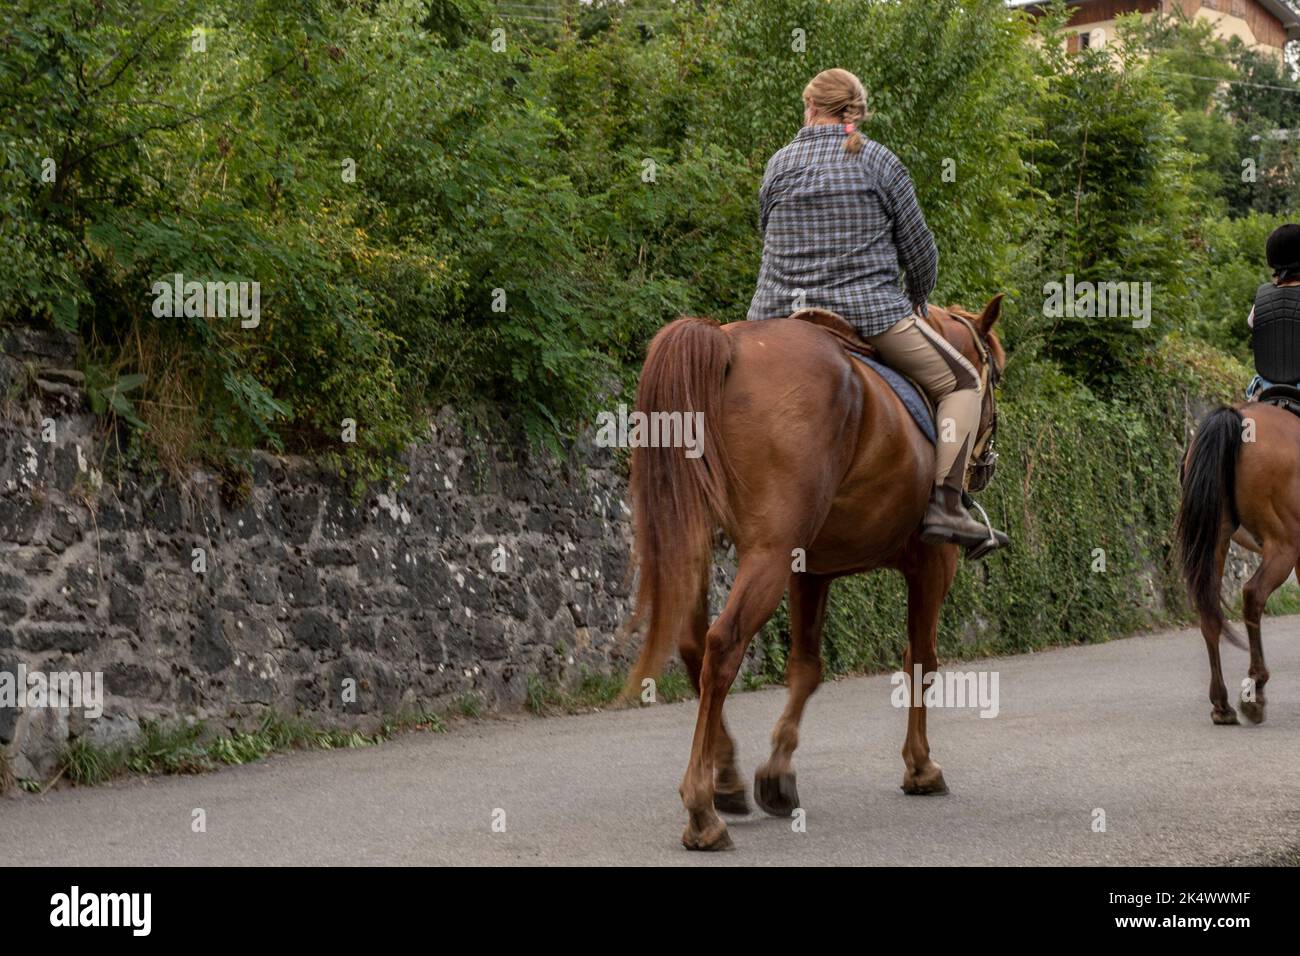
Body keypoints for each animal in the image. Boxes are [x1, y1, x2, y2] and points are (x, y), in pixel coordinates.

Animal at [624, 295, 1006, 850]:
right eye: (995, 371)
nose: (984, 466)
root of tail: (727, 344)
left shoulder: (810, 573)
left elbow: (806, 668)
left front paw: (777, 776)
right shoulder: (931, 565)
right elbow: (922, 661)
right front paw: (920, 767)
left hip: (702, 542)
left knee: (695, 645)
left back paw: (727, 779)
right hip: (767, 554)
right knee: (723, 646)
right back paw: (702, 811)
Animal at [1177, 398, 1300, 726]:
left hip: (1216, 538)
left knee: (1208, 610)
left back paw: (1221, 705)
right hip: (1284, 543)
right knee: (1253, 594)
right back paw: (1255, 692)